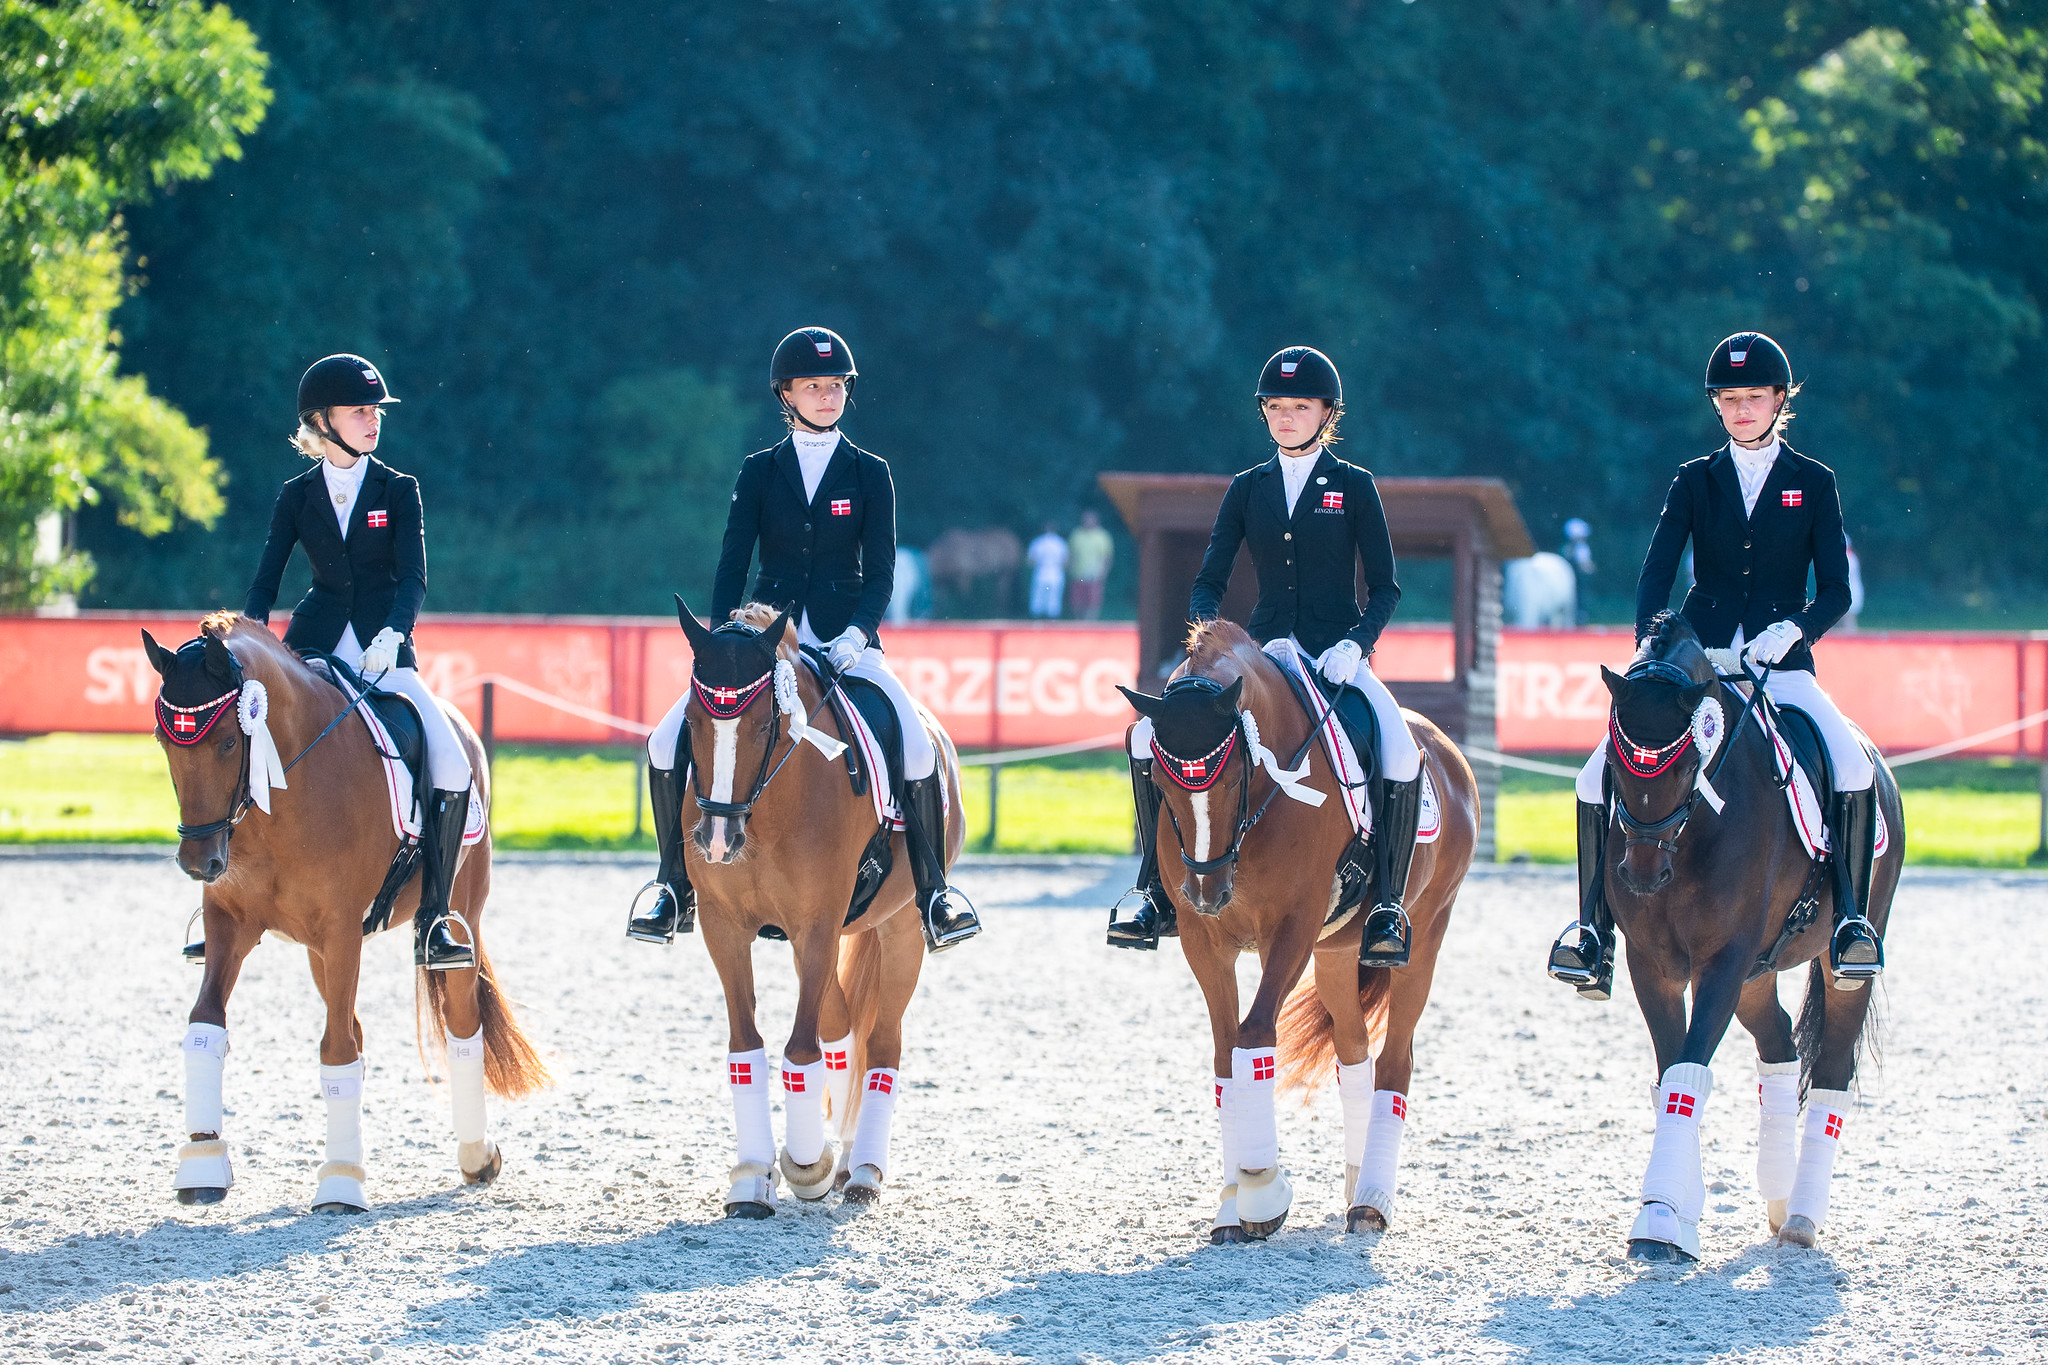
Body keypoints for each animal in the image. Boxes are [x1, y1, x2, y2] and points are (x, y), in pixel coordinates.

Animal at [144, 613, 548, 1211]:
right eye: (163, 741)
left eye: (227, 741)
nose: (199, 862)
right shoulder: (230, 924)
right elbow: (205, 1025)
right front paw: (202, 1163)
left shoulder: (340, 933)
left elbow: (335, 1051)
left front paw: (338, 1183)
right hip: (319, 953)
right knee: (355, 1028)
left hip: (459, 918)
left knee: (461, 1025)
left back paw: (477, 1156)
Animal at [663, 601, 966, 1219]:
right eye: (694, 722)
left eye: (764, 726)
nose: (717, 840)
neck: (768, 807)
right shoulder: (724, 929)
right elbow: (746, 1049)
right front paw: (753, 1177)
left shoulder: (817, 927)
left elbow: (800, 1051)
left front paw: (807, 1166)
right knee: (843, 1030)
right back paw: (846, 1158)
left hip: (900, 928)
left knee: (883, 1042)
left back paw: (863, 1170)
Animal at [1114, 626, 1482, 1244]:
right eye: (1158, 779)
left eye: (1234, 775)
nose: (1208, 890)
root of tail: (1449, 752)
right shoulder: (1202, 940)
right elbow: (1225, 1056)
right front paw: (1232, 1205)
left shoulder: (1293, 929)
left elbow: (1254, 1036)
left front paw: (1262, 1190)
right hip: (1335, 954)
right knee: (1354, 1052)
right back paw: (1356, 1185)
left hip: (1425, 935)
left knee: (1396, 1061)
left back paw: (1372, 1202)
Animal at [1597, 613, 1900, 1268]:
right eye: (1613, 758)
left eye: (1689, 764)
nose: (1641, 874)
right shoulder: (1653, 965)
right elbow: (1673, 1075)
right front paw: (1676, 1211)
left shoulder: (1723, 961)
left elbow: (1687, 1071)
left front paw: (1661, 1220)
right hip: (1757, 977)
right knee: (1781, 1049)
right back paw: (1781, 1200)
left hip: (1840, 963)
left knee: (1832, 1069)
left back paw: (1804, 1218)